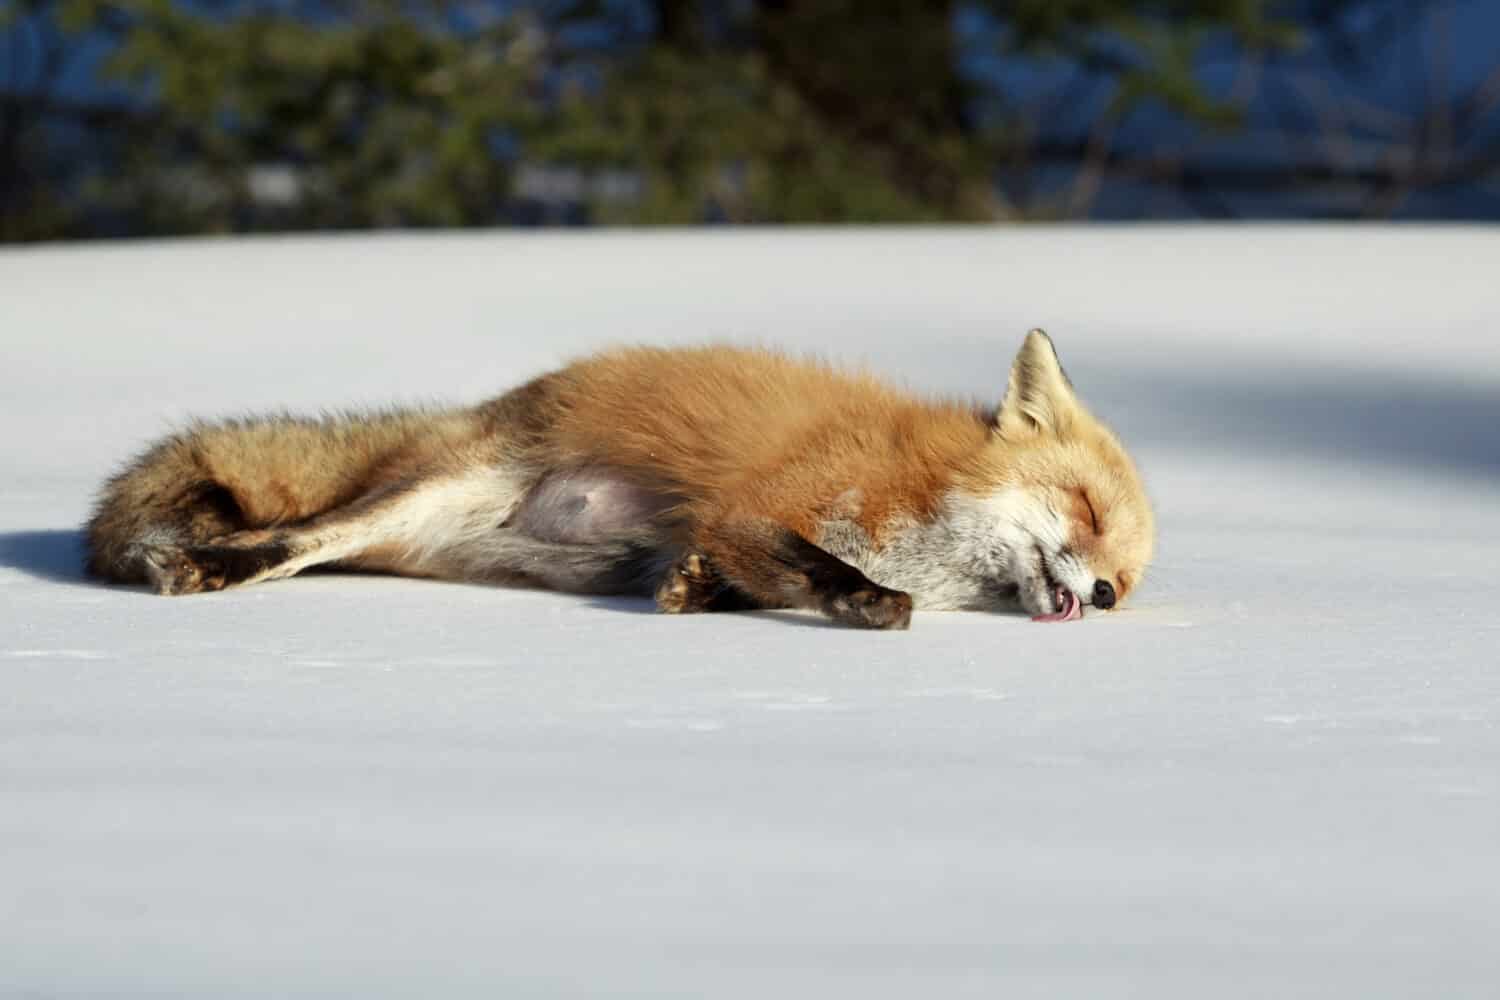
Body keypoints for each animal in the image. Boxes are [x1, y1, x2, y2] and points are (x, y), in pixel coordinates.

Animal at [85, 329, 1153, 629]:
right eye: (1085, 508)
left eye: (1128, 581)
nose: (1101, 593)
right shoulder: (762, 500)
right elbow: (827, 568)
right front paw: (869, 602)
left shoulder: (716, 535)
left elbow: (743, 576)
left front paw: (697, 593)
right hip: (431, 492)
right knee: (292, 541)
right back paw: (205, 567)